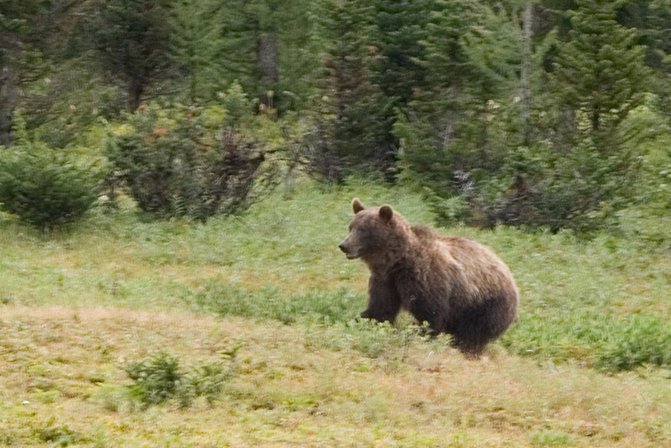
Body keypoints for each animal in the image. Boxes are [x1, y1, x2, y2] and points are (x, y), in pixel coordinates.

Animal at [338, 198, 519, 356]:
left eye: (363, 230)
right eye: (351, 227)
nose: (344, 245)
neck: (397, 262)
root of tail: (509, 273)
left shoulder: (425, 278)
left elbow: (430, 314)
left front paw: (419, 334)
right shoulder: (386, 280)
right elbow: (380, 309)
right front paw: (358, 321)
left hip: (484, 304)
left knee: (473, 333)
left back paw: (467, 350)